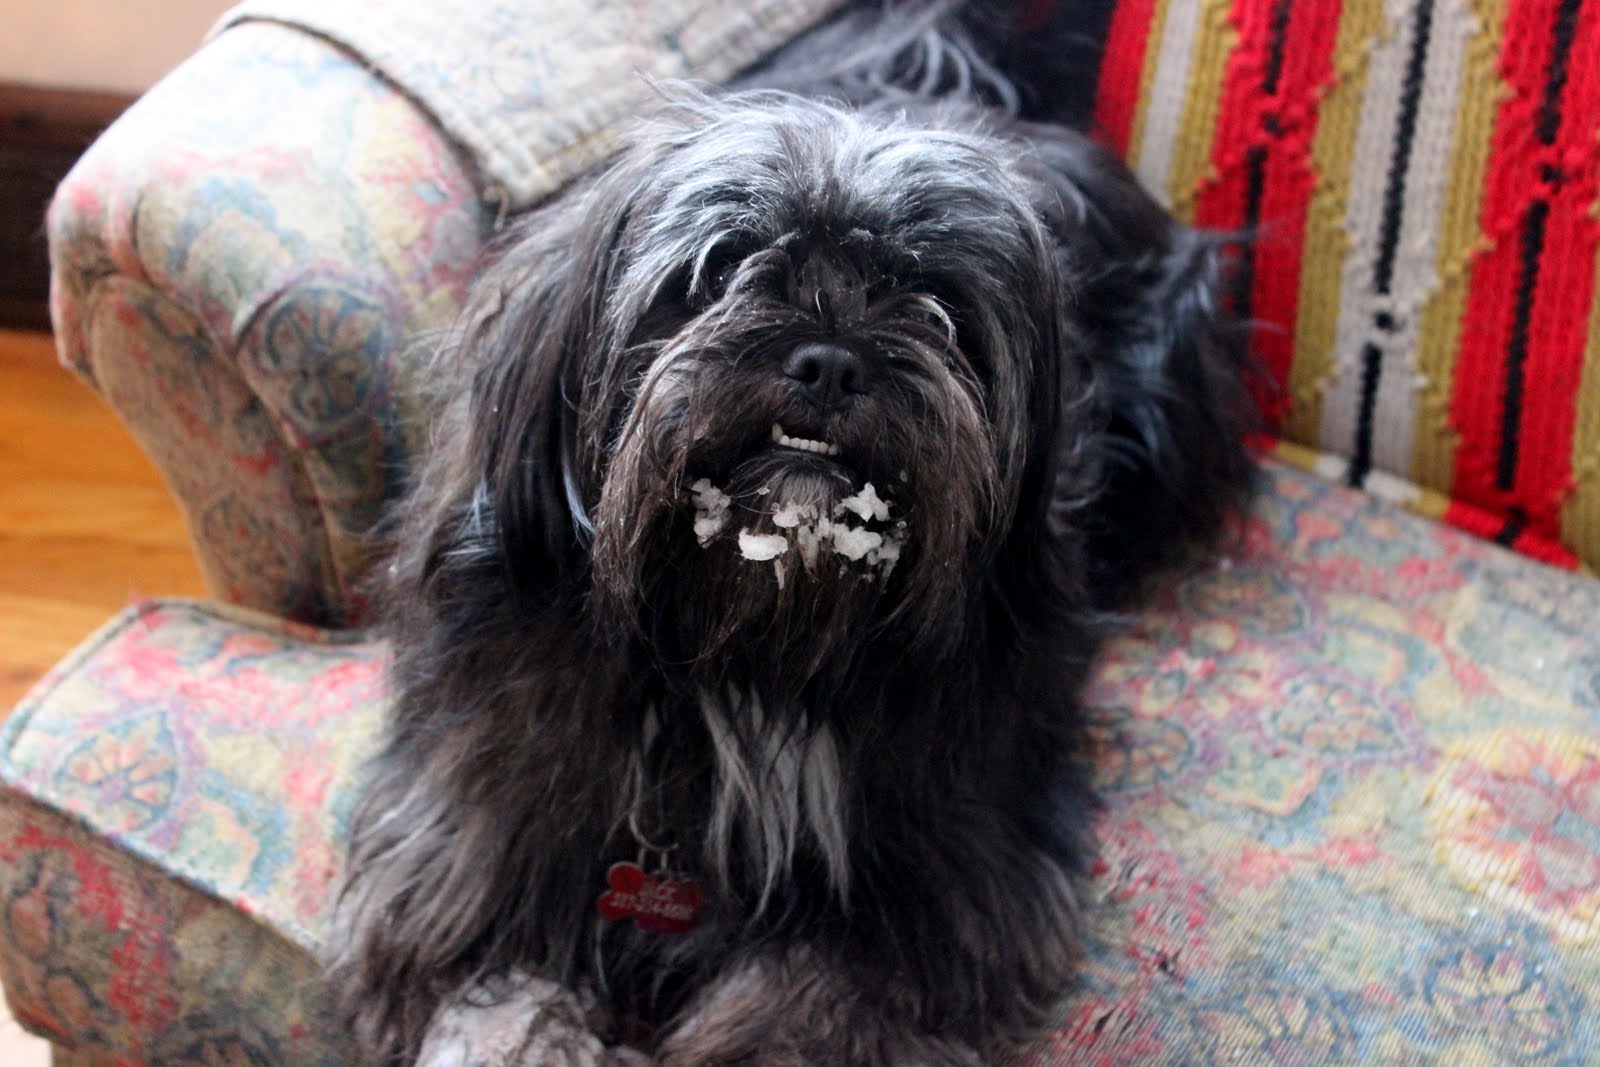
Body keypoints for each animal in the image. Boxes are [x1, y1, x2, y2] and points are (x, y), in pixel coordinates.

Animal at [331, 3, 1256, 1064]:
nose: (831, 357)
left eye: (933, 300)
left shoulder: (923, 910)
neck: (750, 646)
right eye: (723, 266)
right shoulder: (467, 865)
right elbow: (498, 1013)